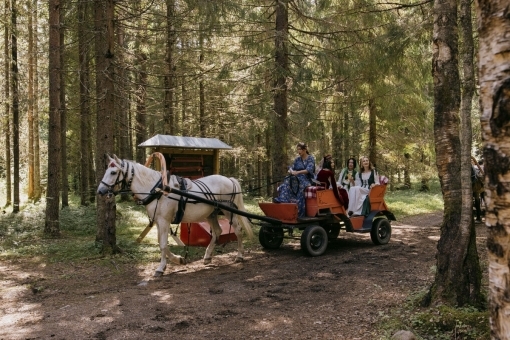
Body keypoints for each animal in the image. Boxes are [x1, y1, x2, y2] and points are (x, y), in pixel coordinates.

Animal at [96, 154, 253, 276]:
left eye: (113, 172)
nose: (100, 191)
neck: (157, 190)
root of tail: (229, 179)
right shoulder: (158, 221)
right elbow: (161, 243)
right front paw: (178, 259)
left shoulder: (164, 220)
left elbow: (163, 244)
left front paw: (161, 268)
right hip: (211, 213)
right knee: (217, 231)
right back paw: (208, 256)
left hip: (228, 211)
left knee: (238, 230)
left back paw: (239, 256)